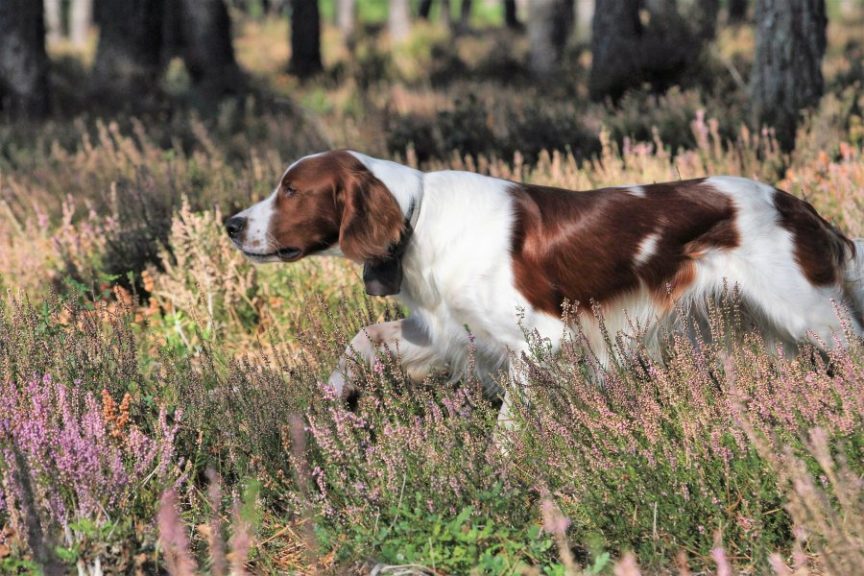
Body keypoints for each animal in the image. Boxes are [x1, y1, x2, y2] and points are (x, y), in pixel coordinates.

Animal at [228, 151, 864, 416]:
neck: (418, 216)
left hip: (814, 316)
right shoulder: (448, 331)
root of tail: (798, 205)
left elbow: (511, 423)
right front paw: (336, 393)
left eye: (291, 190)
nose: (231, 224)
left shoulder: (539, 340)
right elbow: (362, 337)